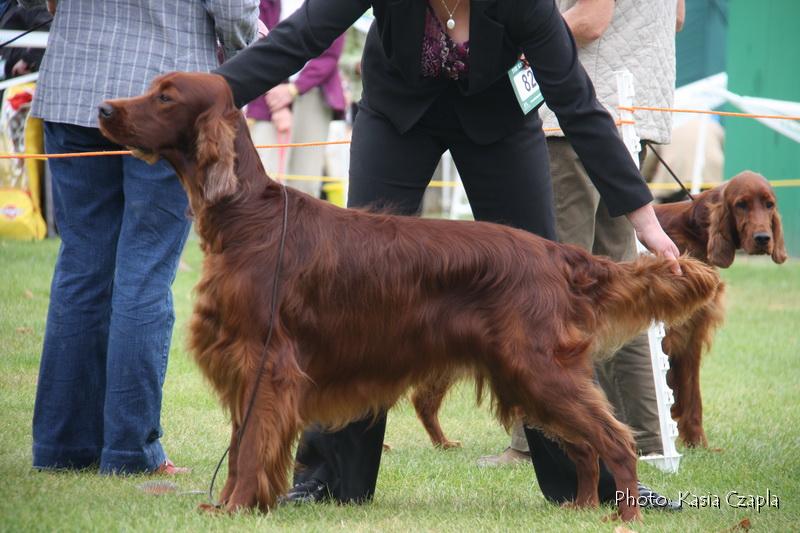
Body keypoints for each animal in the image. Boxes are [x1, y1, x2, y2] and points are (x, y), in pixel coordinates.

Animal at [97, 70, 720, 520]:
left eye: (165, 96)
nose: (104, 109)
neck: (247, 216)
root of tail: (556, 254)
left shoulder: (264, 363)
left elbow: (249, 448)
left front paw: (234, 509)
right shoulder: (246, 364)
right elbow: (242, 447)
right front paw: (232, 504)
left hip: (537, 368)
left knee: (613, 438)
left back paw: (622, 517)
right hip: (527, 376)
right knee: (587, 444)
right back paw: (584, 508)